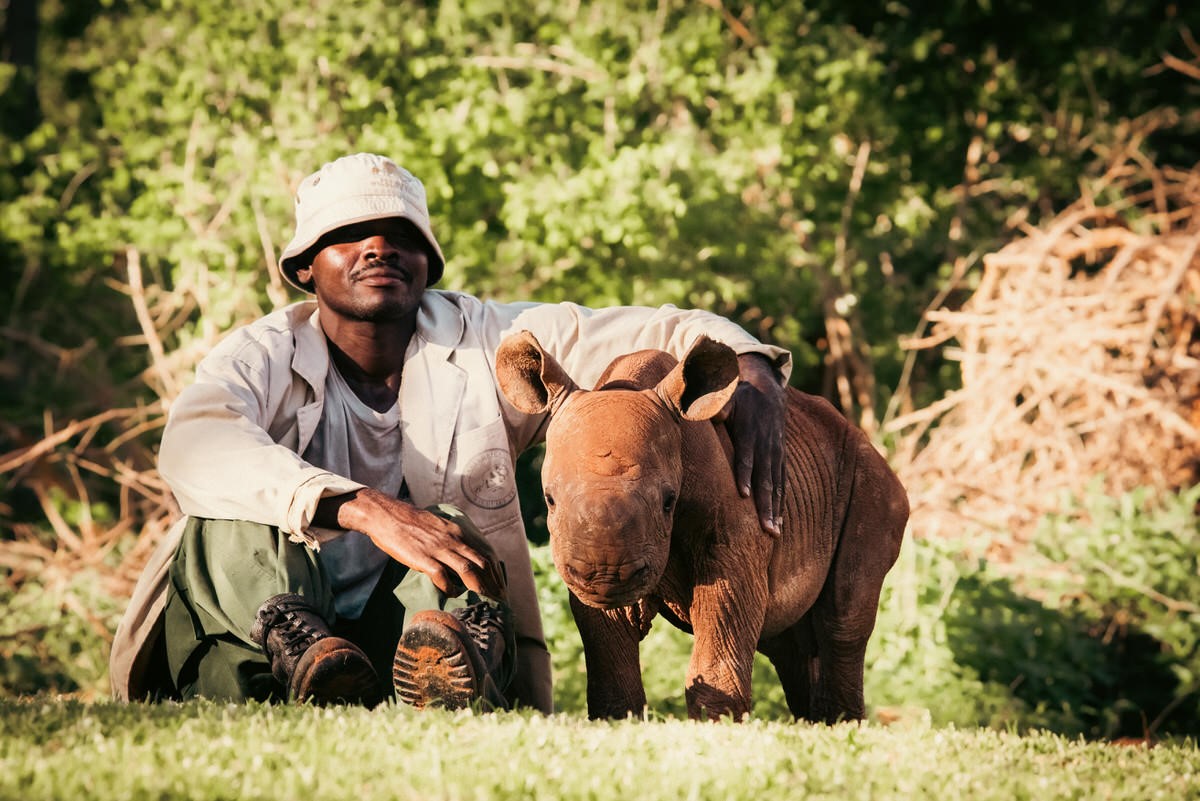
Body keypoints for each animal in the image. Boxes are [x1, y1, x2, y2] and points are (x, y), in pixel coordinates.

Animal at [495, 330, 908, 722]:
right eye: (549, 499)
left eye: (668, 501)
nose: (605, 577)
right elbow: (611, 663)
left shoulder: (731, 541)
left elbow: (722, 628)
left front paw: (716, 727)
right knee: (791, 643)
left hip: (869, 481)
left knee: (840, 621)